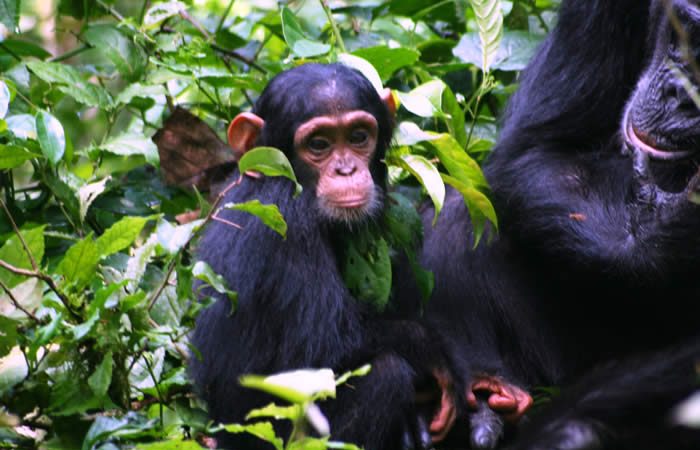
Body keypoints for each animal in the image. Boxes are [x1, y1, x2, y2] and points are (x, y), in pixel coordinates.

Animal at [187, 63, 460, 450]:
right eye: (318, 144)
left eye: (359, 136)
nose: (346, 170)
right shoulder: (288, 222)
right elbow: (324, 346)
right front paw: (433, 352)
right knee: (387, 375)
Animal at [408, 0, 700, 450]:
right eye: (684, 33)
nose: (681, 96)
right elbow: (543, 147)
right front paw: (673, 224)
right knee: (462, 213)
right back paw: (481, 401)